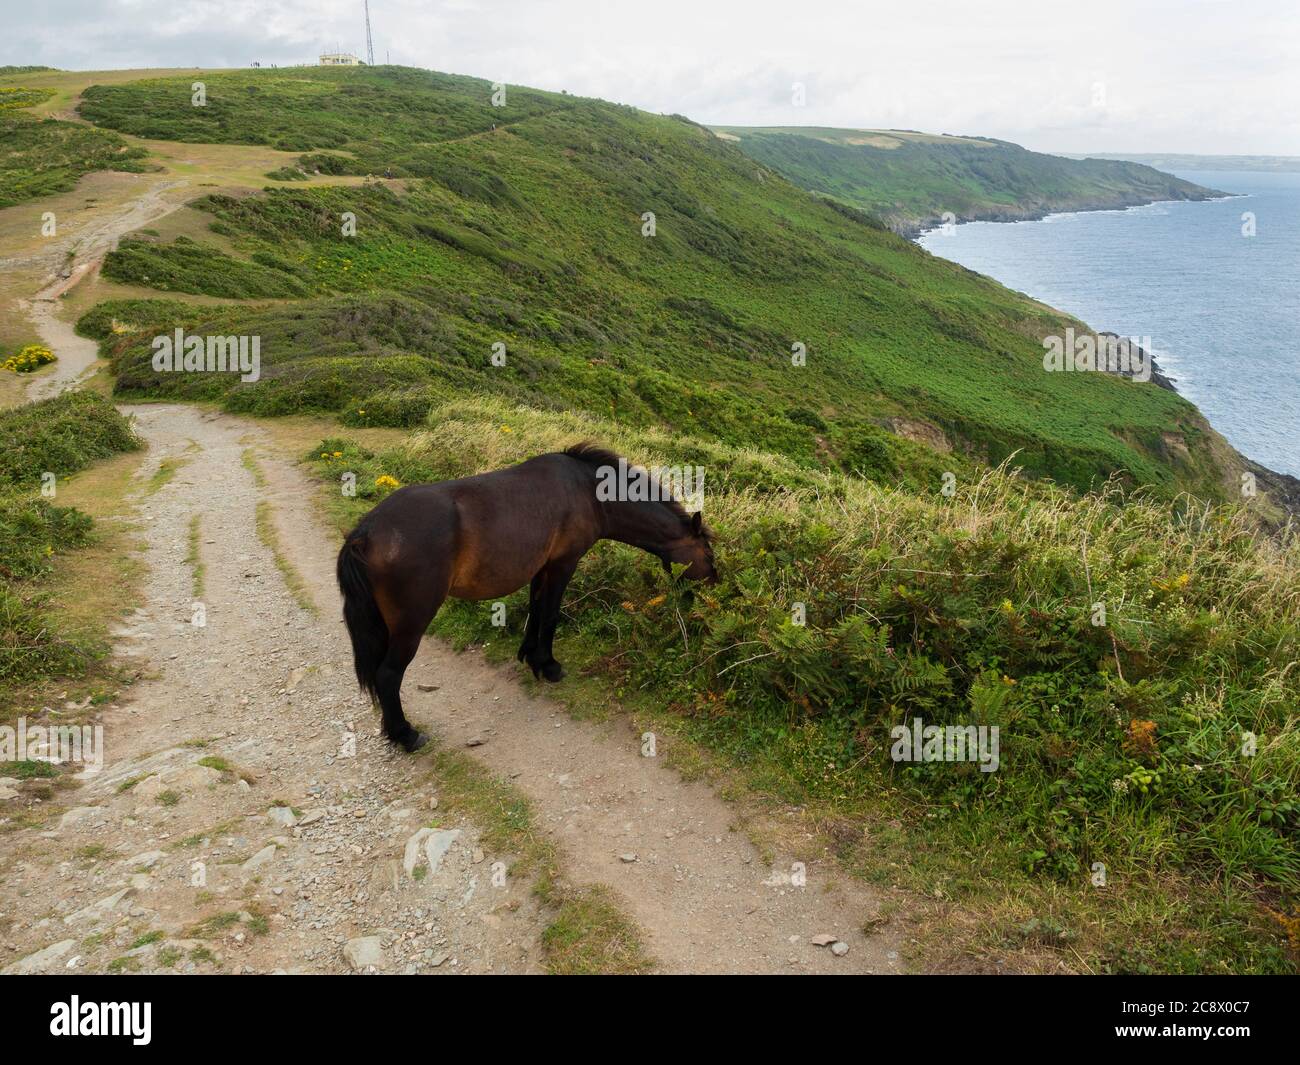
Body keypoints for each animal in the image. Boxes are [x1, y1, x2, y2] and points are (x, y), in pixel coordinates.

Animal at [335, 442, 717, 749]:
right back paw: (406, 735)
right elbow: (550, 615)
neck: (589, 491)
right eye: (708, 554)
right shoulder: (563, 563)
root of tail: (365, 533)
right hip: (411, 622)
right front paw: (549, 666)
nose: (714, 588)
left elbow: (535, 612)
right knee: (388, 674)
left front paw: (531, 656)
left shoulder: (541, 567)